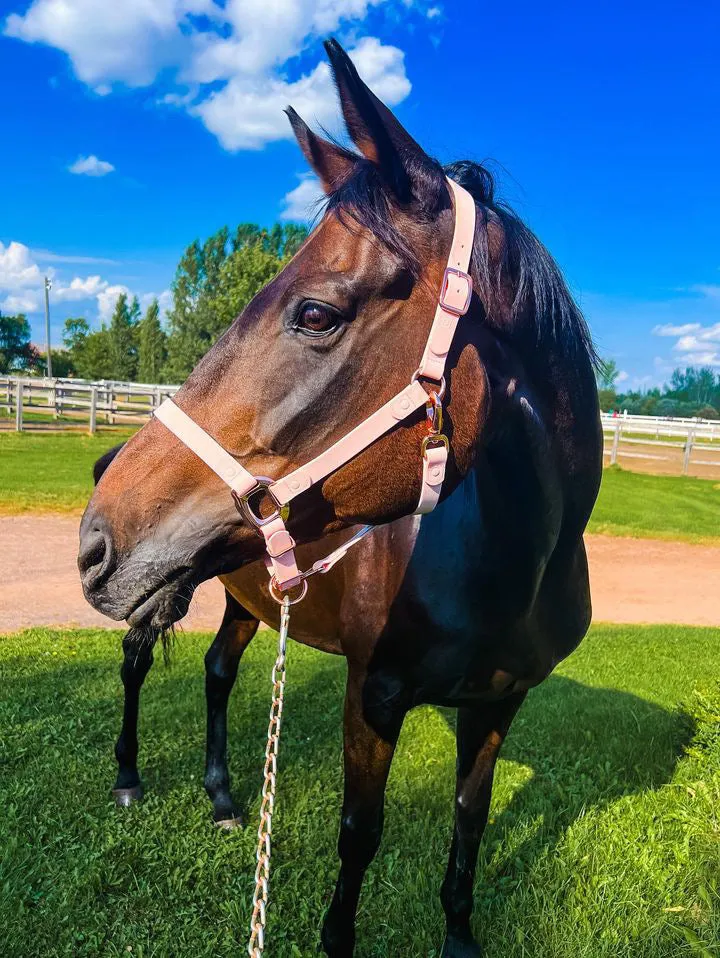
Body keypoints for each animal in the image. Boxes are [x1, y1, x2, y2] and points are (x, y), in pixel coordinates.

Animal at [77, 39, 600, 958]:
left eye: (315, 313)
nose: (93, 541)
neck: (509, 568)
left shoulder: (501, 701)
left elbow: (470, 819)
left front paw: (458, 936)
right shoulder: (374, 694)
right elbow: (360, 833)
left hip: (243, 595)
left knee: (218, 671)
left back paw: (223, 797)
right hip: (159, 598)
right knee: (138, 665)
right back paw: (131, 777)